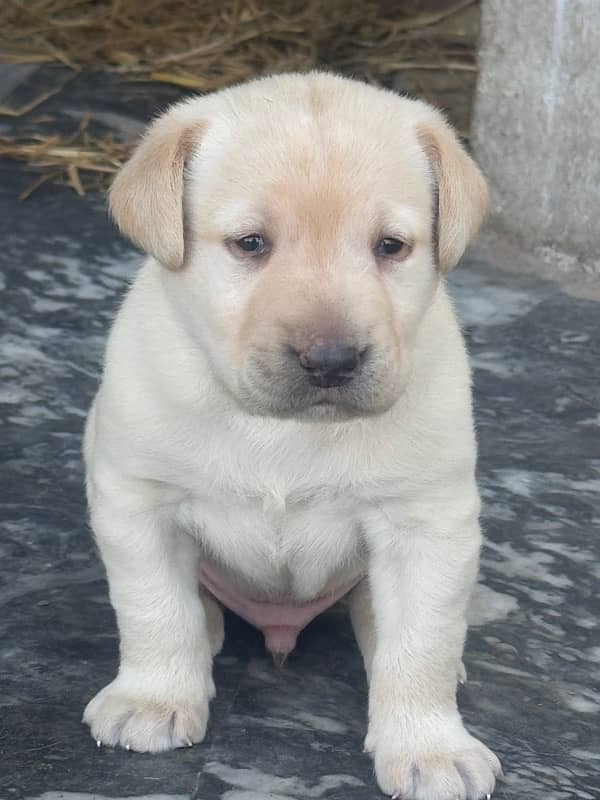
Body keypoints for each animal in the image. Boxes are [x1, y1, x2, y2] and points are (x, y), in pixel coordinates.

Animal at [81, 73, 502, 800]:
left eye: (391, 247)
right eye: (250, 244)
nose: (331, 361)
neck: (282, 429)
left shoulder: (428, 522)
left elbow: (421, 641)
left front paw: (430, 746)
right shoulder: (138, 500)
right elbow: (154, 608)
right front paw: (153, 699)